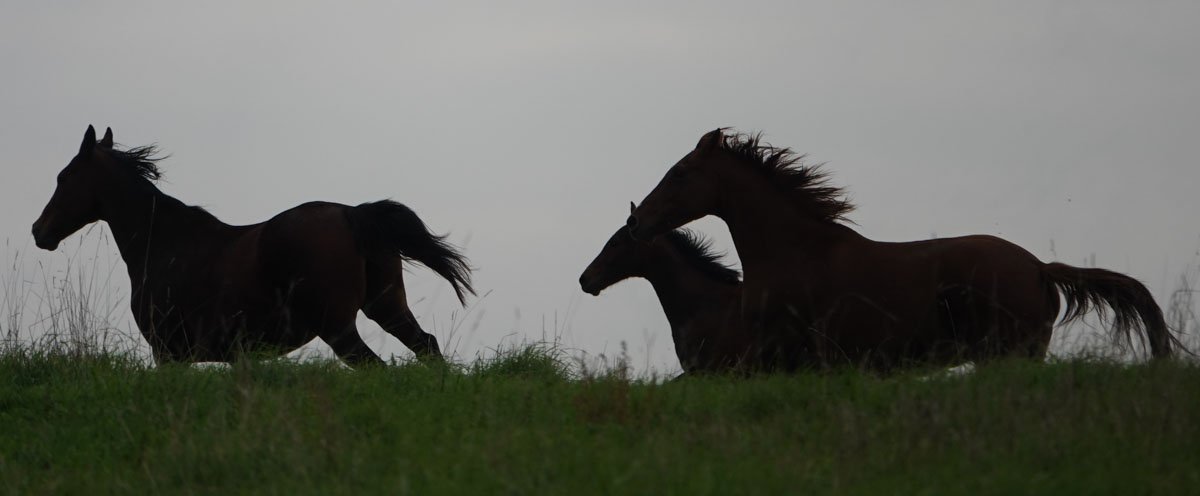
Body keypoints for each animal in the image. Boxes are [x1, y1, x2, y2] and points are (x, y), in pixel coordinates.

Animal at [32, 125, 474, 367]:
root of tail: (352, 214)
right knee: (427, 347)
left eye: (64, 177)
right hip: (387, 308)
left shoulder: (169, 354)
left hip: (339, 327)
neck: (165, 244)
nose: (39, 231)